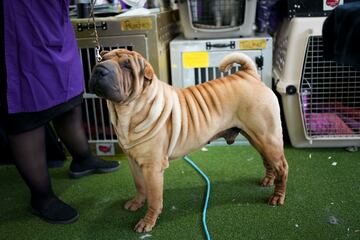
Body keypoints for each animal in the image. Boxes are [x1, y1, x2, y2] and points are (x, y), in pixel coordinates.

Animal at [88, 48, 288, 232]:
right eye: (102, 59)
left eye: (127, 66)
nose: (99, 69)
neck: (126, 112)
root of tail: (249, 75)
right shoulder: (133, 161)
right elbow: (139, 185)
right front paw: (137, 203)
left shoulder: (152, 168)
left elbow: (154, 198)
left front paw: (147, 222)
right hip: (258, 138)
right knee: (268, 162)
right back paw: (268, 180)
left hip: (267, 137)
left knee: (282, 167)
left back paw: (277, 196)